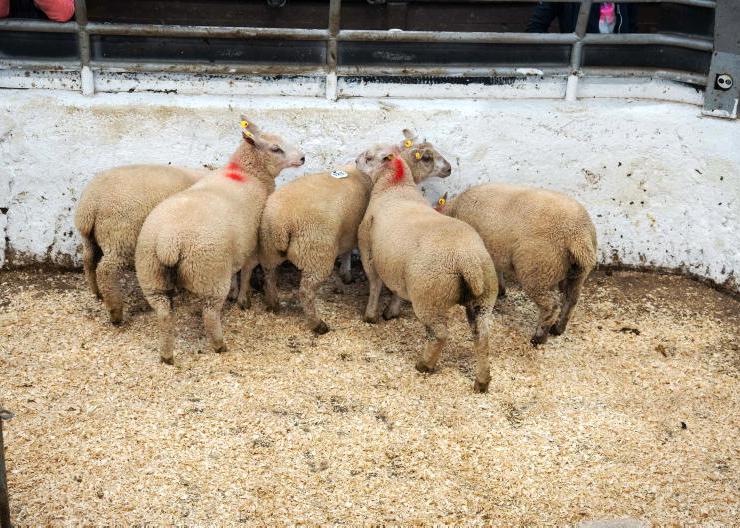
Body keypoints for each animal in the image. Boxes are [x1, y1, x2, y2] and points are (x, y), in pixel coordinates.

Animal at [75, 164, 207, 325]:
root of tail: (91, 203)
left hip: (91, 238)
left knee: (88, 261)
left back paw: (97, 293)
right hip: (120, 238)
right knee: (105, 270)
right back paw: (115, 311)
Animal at [135, 117, 304, 364]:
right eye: (275, 148)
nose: (303, 158)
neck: (247, 173)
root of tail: (169, 242)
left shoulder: (236, 245)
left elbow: (235, 271)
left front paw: (235, 293)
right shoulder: (251, 242)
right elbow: (247, 270)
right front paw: (243, 299)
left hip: (151, 274)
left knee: (164, 315)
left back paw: (167, 355)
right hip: (209, 273)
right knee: (210, 315)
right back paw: (219, 345)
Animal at [258, 129, 452, 335]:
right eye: (427, 157)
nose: (449, 169)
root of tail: (281, 222)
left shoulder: (350, 227)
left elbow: (347, 250)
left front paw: (345, 273)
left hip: (269, 248)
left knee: (269, 275)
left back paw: (273, 304)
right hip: (316, 253)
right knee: (306, 291)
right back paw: (318, 324)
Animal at [356, 144, 499, 393]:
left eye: (369, 157)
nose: (355, 161)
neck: (395, 186)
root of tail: (467, 260)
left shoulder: (367, 249)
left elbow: (375, 284)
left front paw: (371, 315)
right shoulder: (398, 266)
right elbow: (398, 290)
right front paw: (391, 312)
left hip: (429, 296)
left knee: (439, 335)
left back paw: (425, 364)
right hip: (483, 296)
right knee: (482, 336)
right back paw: (482, 381)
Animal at [440, 183, 597, 345]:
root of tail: (578, 236)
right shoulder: (493, 251)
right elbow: (497, 272)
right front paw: (500, 291)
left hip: (538, 271)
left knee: (551, 307)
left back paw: (539, 338)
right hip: (576, 274)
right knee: (571, 300)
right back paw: (558, 329)